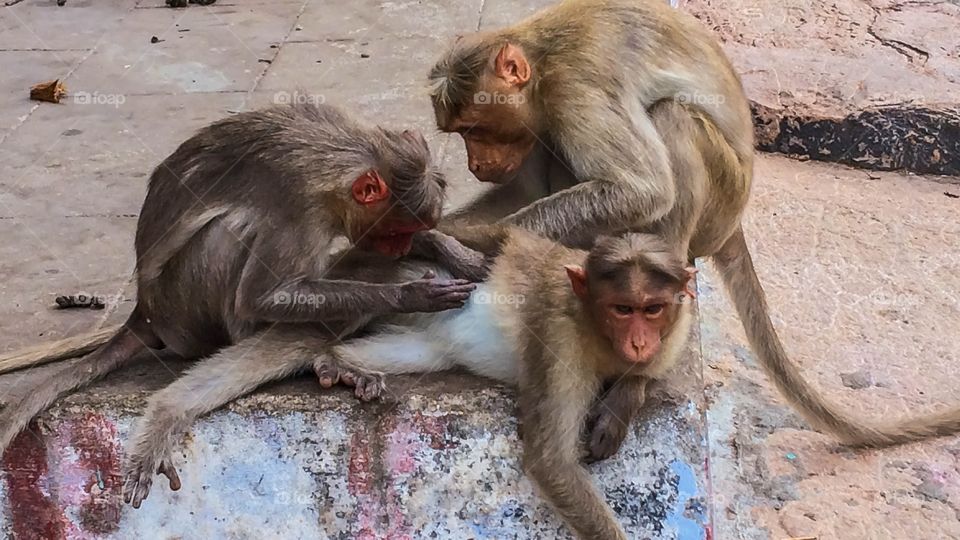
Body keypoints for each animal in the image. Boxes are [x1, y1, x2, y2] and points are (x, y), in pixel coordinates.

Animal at [0, 101, 482, 458]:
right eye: (395, 232)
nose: (402, 248)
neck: (341, 158)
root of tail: (146, 311)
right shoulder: (300, 207)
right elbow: (262, 297)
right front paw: (410, 294)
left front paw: (452, 252)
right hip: (187, 313)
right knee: (232, 232)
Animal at [420, 0, 960, 465]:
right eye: (462, 133)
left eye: (476, 128)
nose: (475, 163)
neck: (541, 58)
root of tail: (735, 222)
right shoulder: (539, 122)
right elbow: (526, 187)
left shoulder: (575, 90)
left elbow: (642, 189)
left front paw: (475, 250)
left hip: (719, 199)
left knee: (674, 119)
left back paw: (637, 365)